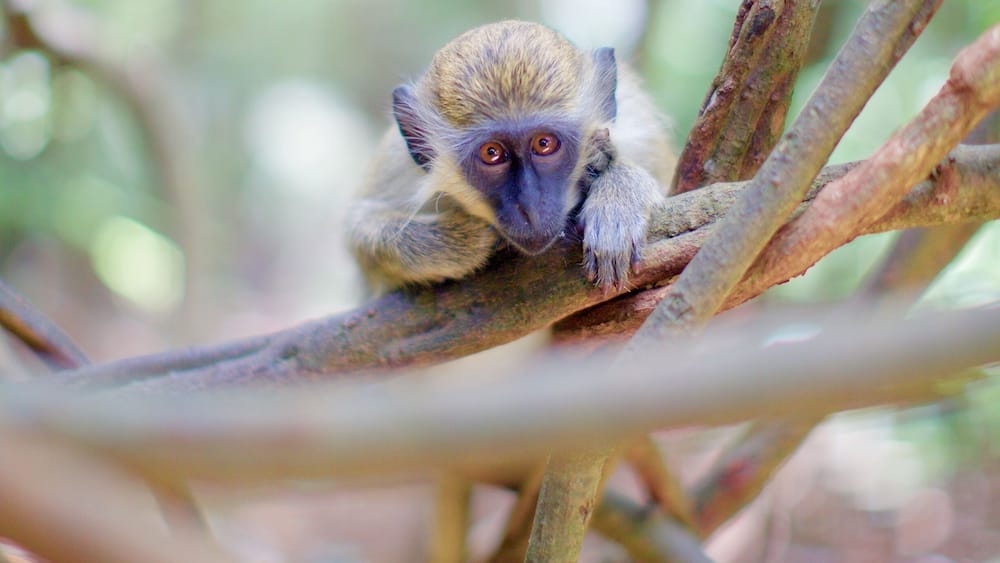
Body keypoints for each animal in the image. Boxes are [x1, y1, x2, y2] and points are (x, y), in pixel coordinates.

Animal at [347, 20, 674, 294]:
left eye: (544, 144)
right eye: (492, 153)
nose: (529, 208)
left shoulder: (638, 127)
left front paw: (617, 197)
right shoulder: (397, 166)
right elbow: (360, 237)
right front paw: (466, 240)